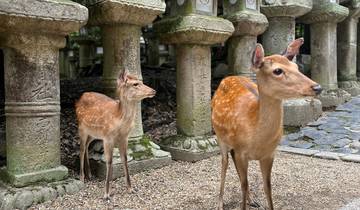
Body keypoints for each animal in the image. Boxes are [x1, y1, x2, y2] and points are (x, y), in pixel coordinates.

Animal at [75, 70, 155, 199]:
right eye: (135, 84)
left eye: (140, 81)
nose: (153, 91)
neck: (118, 119)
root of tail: (79, 98)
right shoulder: (107, 137)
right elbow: (109, 161)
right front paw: (106, 193)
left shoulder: (124, 137)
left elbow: (125, 159)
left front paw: (130, 188)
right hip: (81, 128)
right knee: (81, 149)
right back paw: (82, 178)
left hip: (94, 133)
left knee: (86, 146)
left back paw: (90, 175)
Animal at [211, 38, 324, 210]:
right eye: (277, 71)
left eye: (296, 67)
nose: (317, 87)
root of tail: (227, 78)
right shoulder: (241, 152)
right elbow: (243, 184)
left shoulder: (269, 154)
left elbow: (267, 187)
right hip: (219, 137)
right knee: (225, 163)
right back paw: (220, 203)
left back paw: (252, 200)